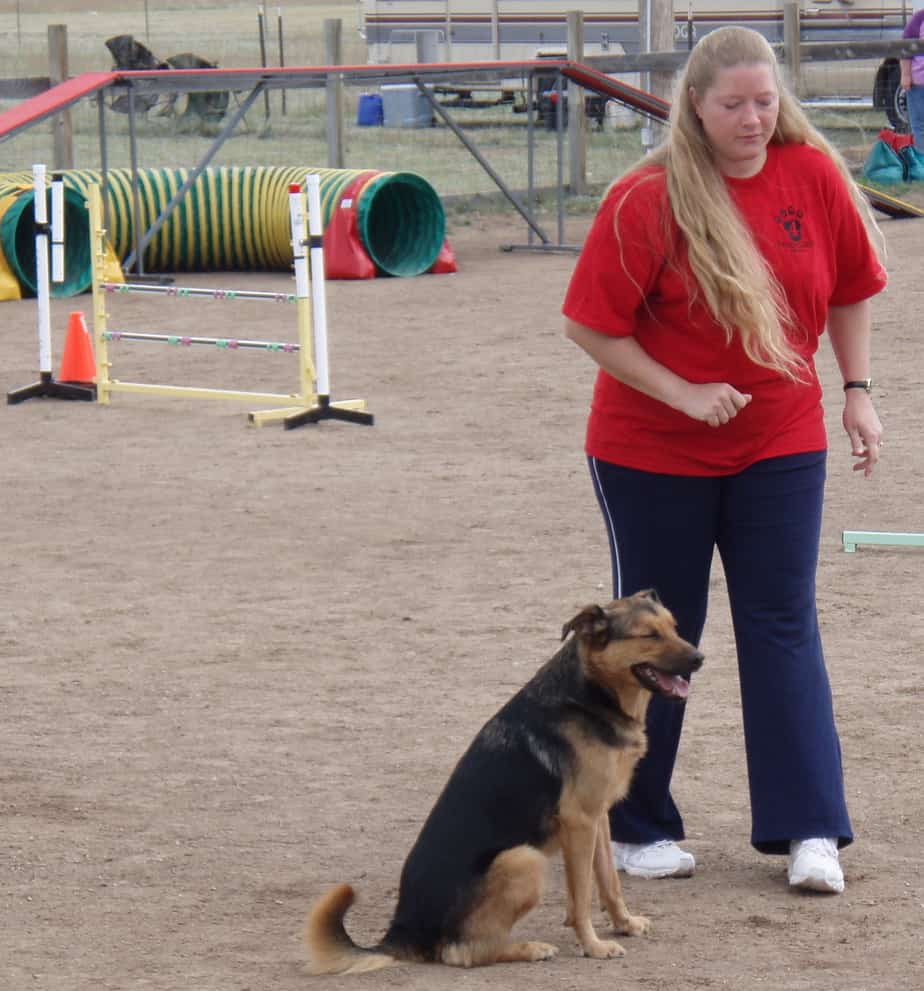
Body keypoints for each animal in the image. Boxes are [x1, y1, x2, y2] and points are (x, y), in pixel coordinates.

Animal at [304, 588, 700, 976]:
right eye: (649, 635)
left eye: (673, 627)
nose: (700, 658)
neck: (590, 694)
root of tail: (401, 932)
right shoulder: (580, 822)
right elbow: (582, 897)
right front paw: (594, 947)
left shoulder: (598, 816)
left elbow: (608, 881)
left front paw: (624, 924)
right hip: (523, 859)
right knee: (462, 952)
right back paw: (531, 948)